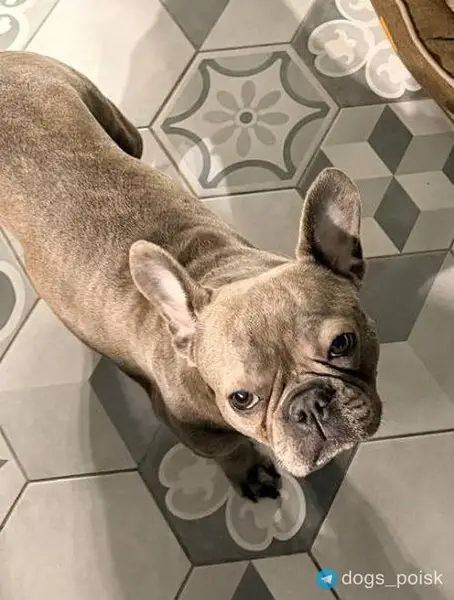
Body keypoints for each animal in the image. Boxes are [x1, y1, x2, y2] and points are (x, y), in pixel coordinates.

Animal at [0, 52, 382, 501]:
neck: (222, 269)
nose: (308, 405)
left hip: (114, 122)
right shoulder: (197, 433)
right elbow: (231, 449)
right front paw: (249, 471)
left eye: (342, 344)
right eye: (241, 399)